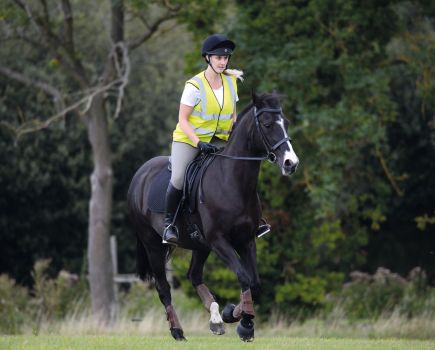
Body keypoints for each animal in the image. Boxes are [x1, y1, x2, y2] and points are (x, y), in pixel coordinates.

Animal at [127, 91, 300, 340]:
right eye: (267, 124)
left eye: (285, 123)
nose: (291, 163)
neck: (232, 182)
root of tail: (140, 174)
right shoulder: (219, 241)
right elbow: (243, 276)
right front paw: (244, 323)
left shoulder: (246, 240)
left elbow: (254, 282)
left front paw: (233, 315)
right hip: (153, 245)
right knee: (164, 288)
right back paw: (178, 331)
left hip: (200, 245)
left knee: (194, 276)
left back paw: (216, 319)